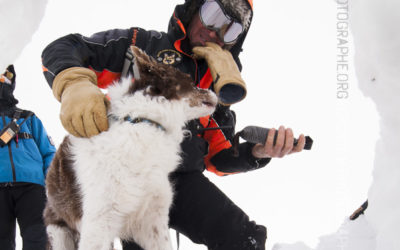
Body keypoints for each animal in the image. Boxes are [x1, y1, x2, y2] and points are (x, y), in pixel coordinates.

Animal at [43, 47, 217, 250]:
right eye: (189, 80)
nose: (214, 93)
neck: (142, 122)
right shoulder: (98, 224)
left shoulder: (151, 219)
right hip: (59, 234)